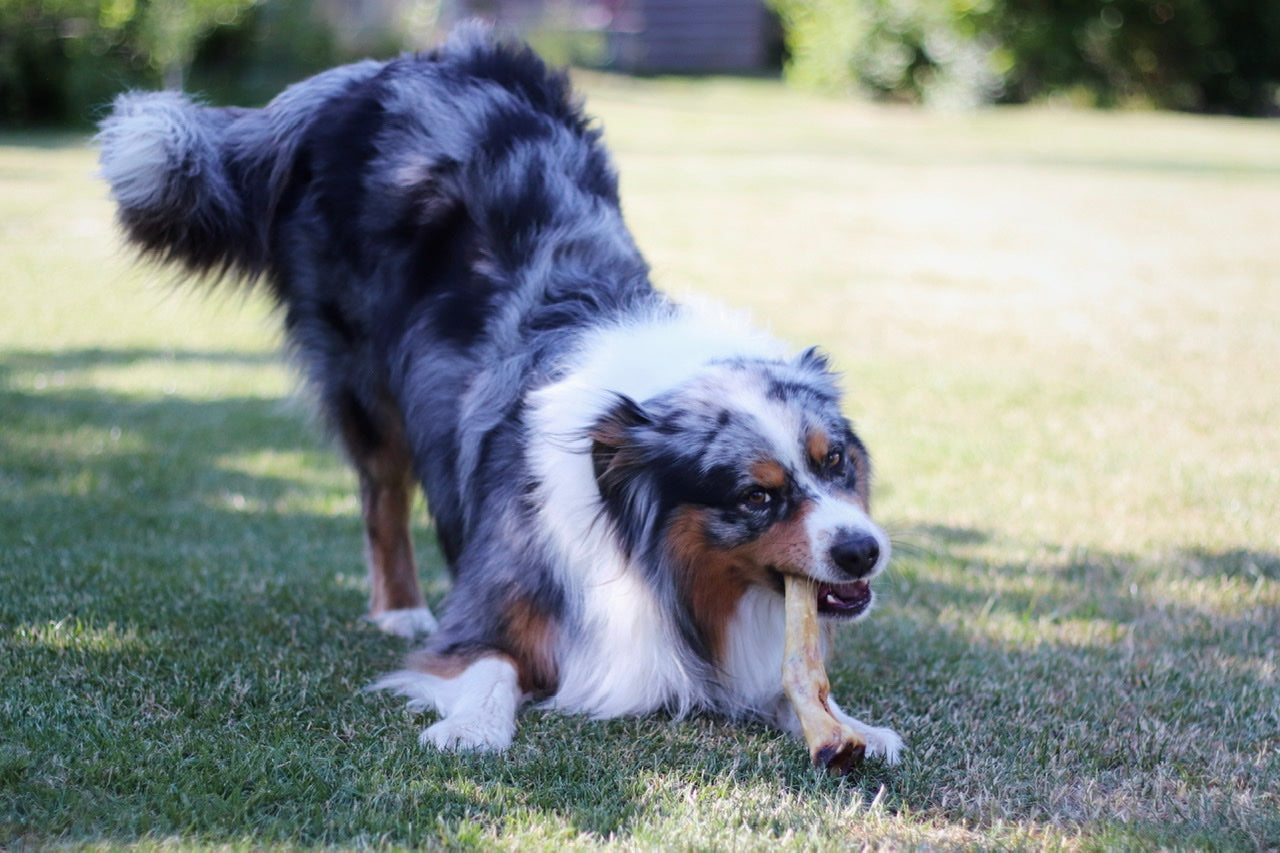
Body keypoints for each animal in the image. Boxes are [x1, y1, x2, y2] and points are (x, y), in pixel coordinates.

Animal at [97, 24, 901, 758]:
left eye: (834, 462)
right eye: (756, 496)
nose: (863, 552)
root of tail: (371, 74)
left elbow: (793, 685)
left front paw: (849, 724)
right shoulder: (497, 601)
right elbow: (489, 664)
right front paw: (471, 726)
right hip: (365, 379)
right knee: (381, 493)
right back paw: (399, 608)